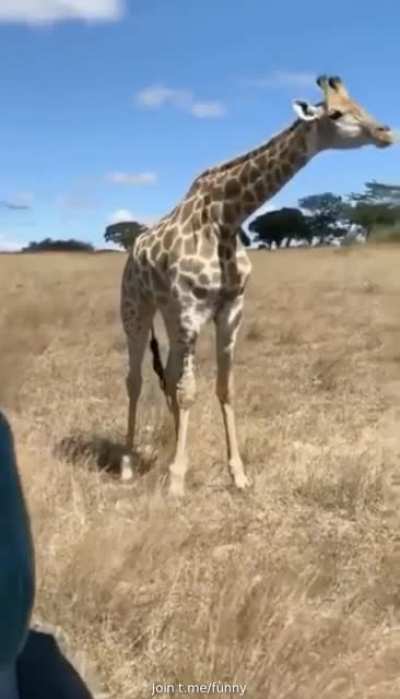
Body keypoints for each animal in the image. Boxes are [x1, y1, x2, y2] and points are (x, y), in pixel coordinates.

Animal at [120, 74, 394, 497]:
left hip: (169, 314)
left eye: (359, 104)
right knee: (135, 380)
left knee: (168, 375)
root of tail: (133, 250)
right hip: (138, 309)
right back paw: (129, 464)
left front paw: (237, 474)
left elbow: (222, 388)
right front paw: (177, 481)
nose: (385, 132)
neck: (227, 217)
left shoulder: (230, 310)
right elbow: (189, 391)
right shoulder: (191, 310)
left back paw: (170, 448)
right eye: (335, 113)